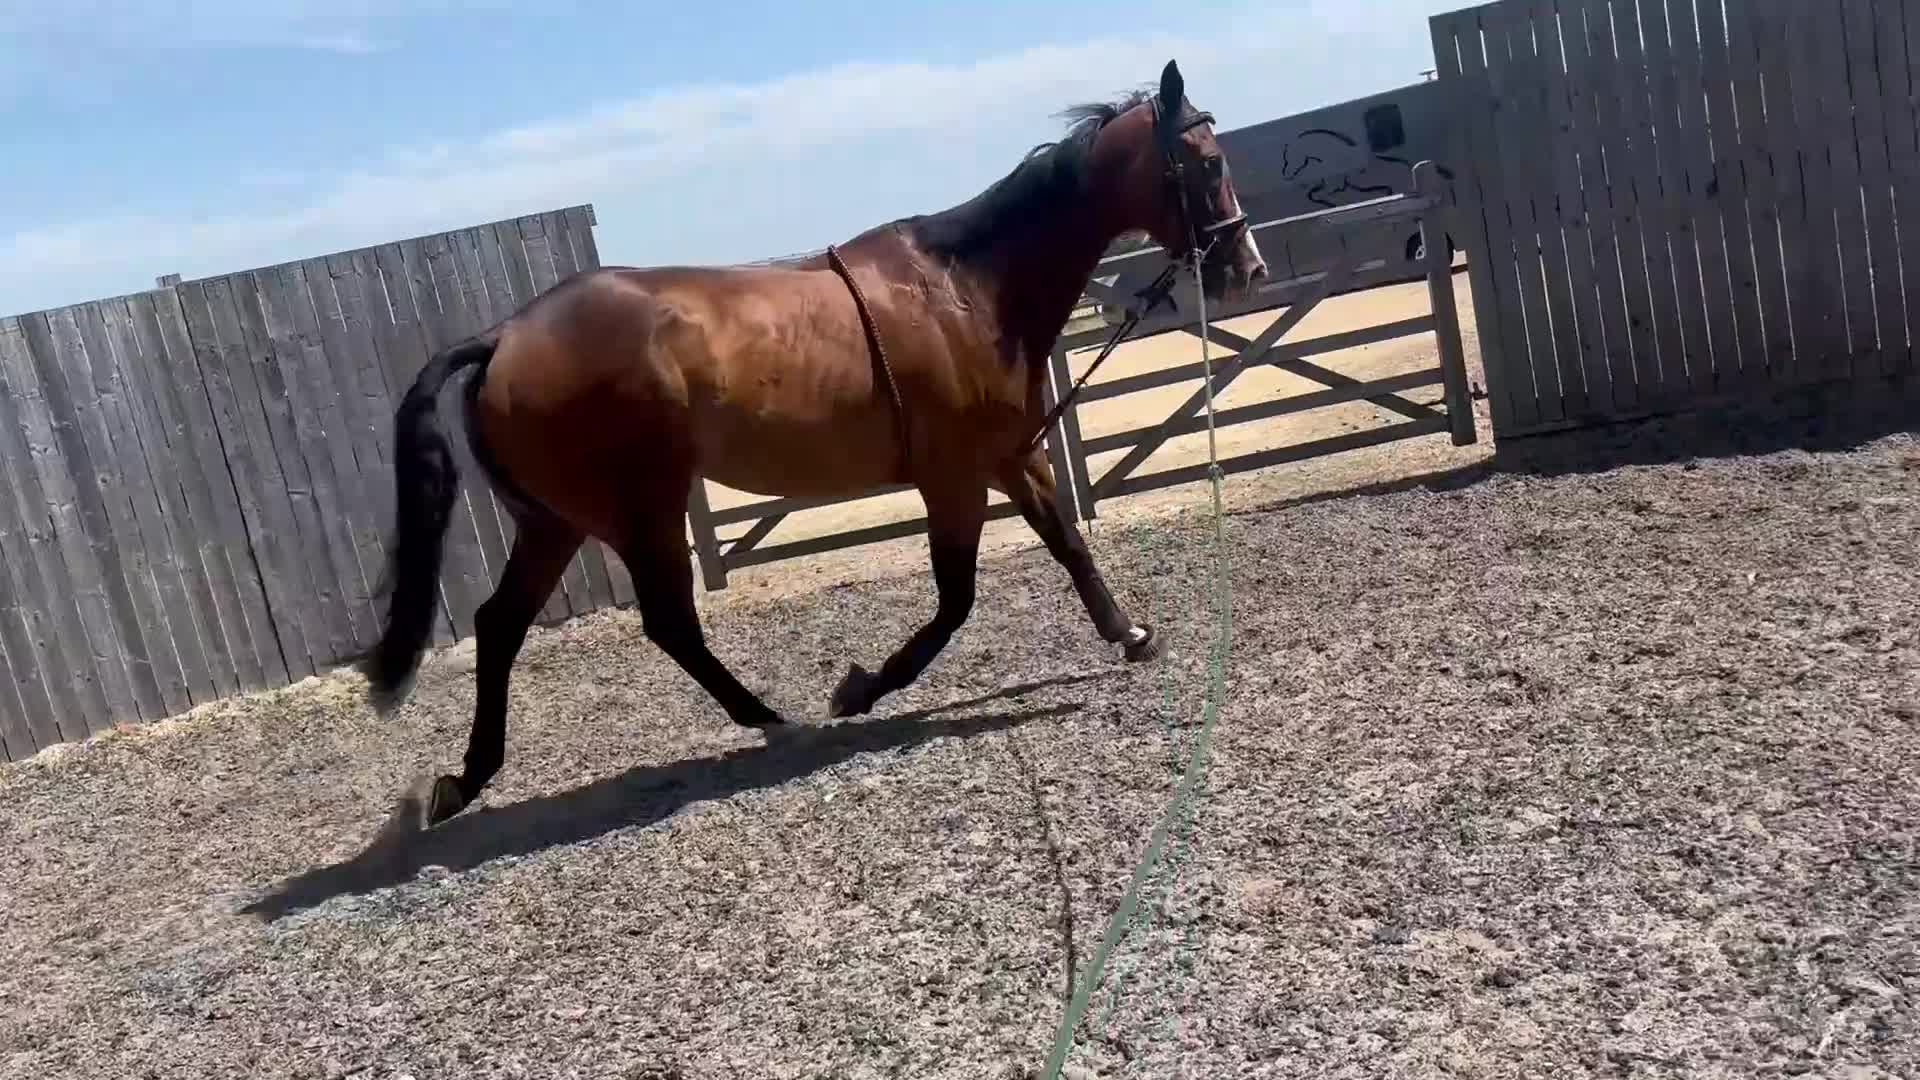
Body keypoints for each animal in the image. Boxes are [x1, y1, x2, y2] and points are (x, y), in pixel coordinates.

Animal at [360, 59, 1267, 826]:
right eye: (1208, 161)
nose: (1246, 267)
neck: (965, 290)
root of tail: (504, 337)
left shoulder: (1012, 456)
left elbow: (1068, 544)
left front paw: (1131, 634)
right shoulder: (953, 478)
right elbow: (956, 599)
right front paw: (859, 688)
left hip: (557, 521)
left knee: (501, 624)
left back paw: (464, 780)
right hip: (640, 509)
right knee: (666, 622)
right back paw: (775, 719)